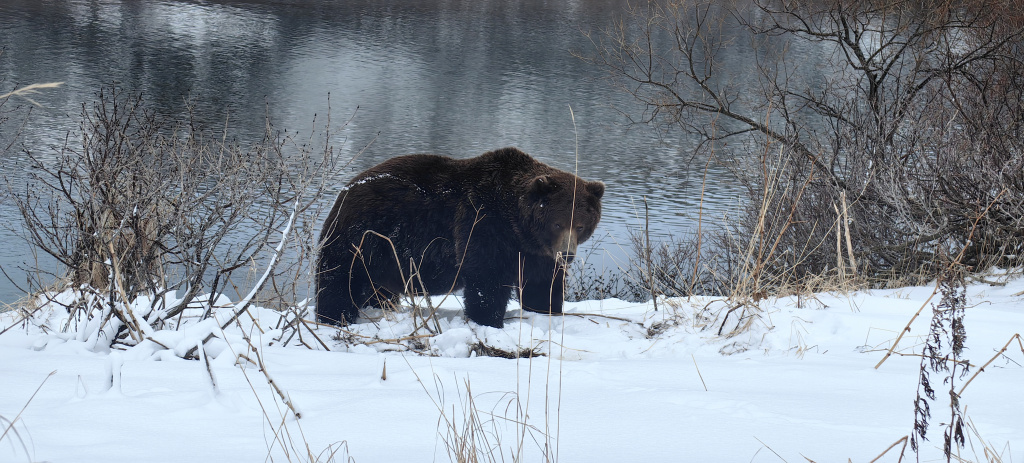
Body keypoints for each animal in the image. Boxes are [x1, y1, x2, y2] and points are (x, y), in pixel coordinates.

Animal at [315, 147, 604, 328]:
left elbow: (543, 284)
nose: (567, 254)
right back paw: (334, 317)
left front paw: (547, 309)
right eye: (557, 223)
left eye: (580, 225)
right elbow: (486, 280)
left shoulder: (536, 253)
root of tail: (345, 190)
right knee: (339, 280)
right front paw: (489, 319)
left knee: (377, 289)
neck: (518, 227)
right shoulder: (484, 225)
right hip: (362, 236)